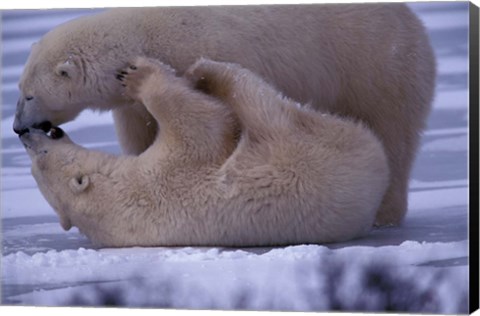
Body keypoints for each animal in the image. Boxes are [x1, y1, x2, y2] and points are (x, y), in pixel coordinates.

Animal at [14, 3, 436, 226]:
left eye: (29, 94)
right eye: (19, 89)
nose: (18, 127)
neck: (142, 34)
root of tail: (414, 22)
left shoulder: (207, 49)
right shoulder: (130, 104)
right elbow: (140, 130)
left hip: (377, 66)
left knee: (392, 132)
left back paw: (384, 213)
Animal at [19, 58, 390, 248]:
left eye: (36, 159)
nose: (26, 135)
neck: (116, 199)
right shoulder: (170, 175)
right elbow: (205, 124)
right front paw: (141, 77)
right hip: (305, 153)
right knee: (259, 102)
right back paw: (207, 70)